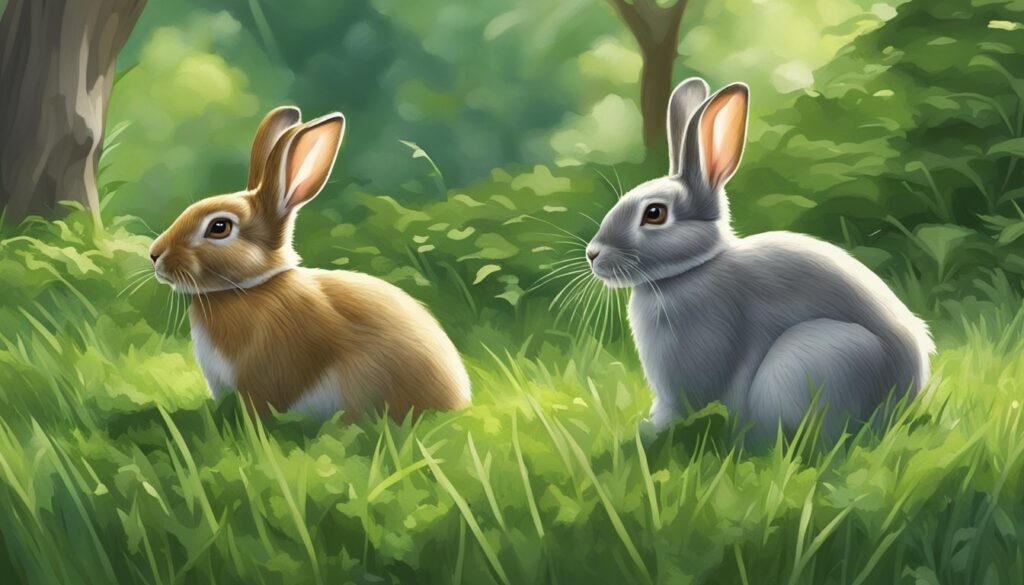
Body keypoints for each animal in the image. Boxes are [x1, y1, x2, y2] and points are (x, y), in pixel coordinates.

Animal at [586, 78, 934, 440]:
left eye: (654, 213)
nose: (593, 254)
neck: (691, 270)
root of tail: (906, 394)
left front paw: (649, 432)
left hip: (813, 359)